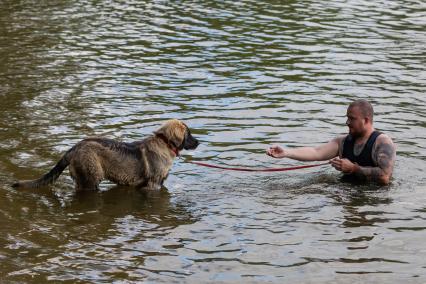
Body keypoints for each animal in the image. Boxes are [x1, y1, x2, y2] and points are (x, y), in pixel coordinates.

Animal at [12, 118, 200, 192]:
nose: (199, 142)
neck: (164, 143)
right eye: (189, 134)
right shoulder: (153, 185)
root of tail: (74, 148)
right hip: (91, 177)